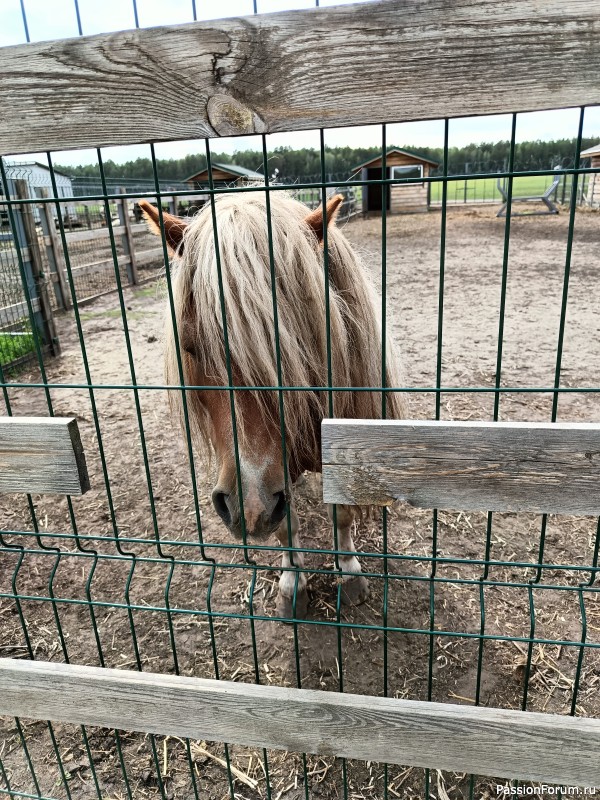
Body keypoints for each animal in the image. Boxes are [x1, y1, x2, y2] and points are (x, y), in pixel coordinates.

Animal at [140, 192, 404, 620]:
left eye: (297, 342)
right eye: (192, 347)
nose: (247, 508)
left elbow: (341, 512)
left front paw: (349, 573)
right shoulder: (277, 475)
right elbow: (286, 525)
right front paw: (293, 581)